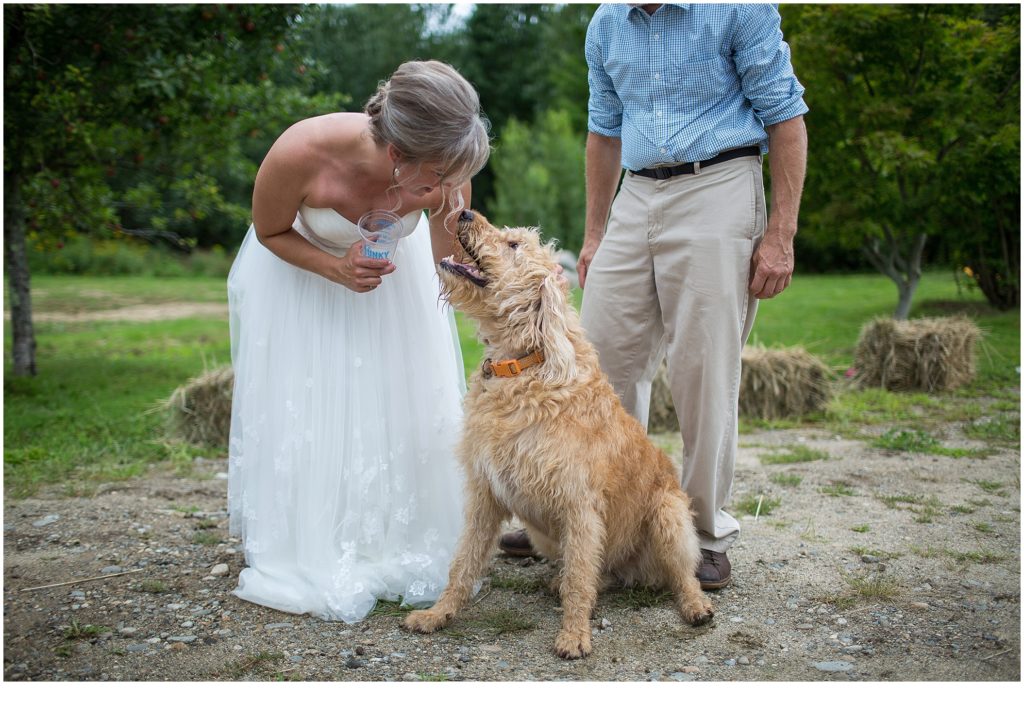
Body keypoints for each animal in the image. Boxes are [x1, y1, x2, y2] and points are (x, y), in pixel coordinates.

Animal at [401, 207, 712, 654]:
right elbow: (463, 563)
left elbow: (580, 578)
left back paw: (695, 605)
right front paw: (437, 614)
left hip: (669, 516)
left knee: (679, 572)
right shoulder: (485, 495)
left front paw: (575, 635)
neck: (522, 367)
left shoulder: (579, 504)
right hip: (542, 533)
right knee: (598, 572)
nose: (463, 211)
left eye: (514, 244)